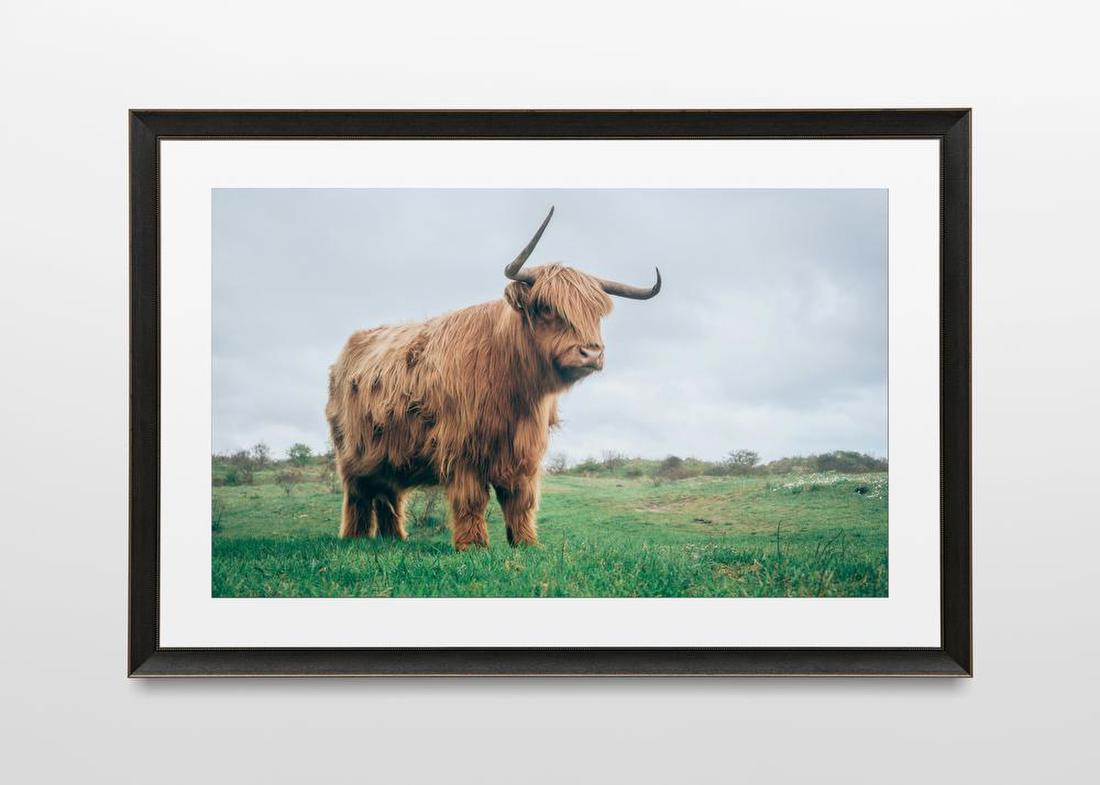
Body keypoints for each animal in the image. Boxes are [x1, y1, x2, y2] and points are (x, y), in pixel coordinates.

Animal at [325, 207, 661, 551]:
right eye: (546, 307)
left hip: (388, 454)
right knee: (359, 495)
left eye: (596, 314)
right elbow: (472, 498)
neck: (514, 388)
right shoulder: (462, 447)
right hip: (352, 452)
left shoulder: (524, 450)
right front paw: (473, 545)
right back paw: (354, 537)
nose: (591, 353)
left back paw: (394, 538)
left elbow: (520, 499)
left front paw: (526, 543)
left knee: (388, 494)